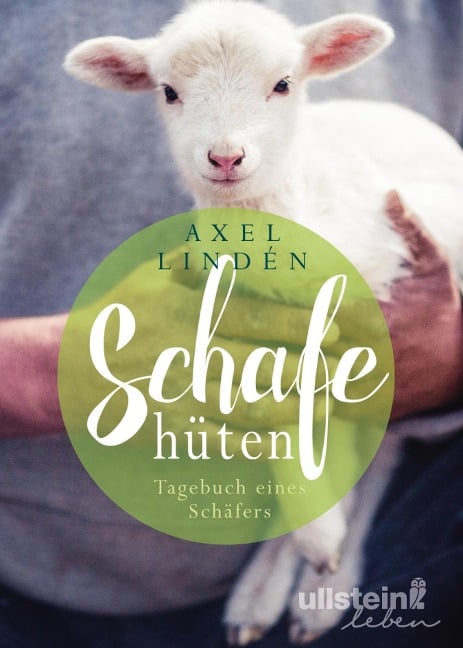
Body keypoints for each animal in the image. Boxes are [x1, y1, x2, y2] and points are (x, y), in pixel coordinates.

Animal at [64, 0, 463, 644]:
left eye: (283, 84)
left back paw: (316, 592)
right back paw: (271, 593)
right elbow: (282, 417)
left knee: (387, 444)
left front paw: (321, 547)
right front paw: (312, 534)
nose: (225, 157)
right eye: (168, 91)